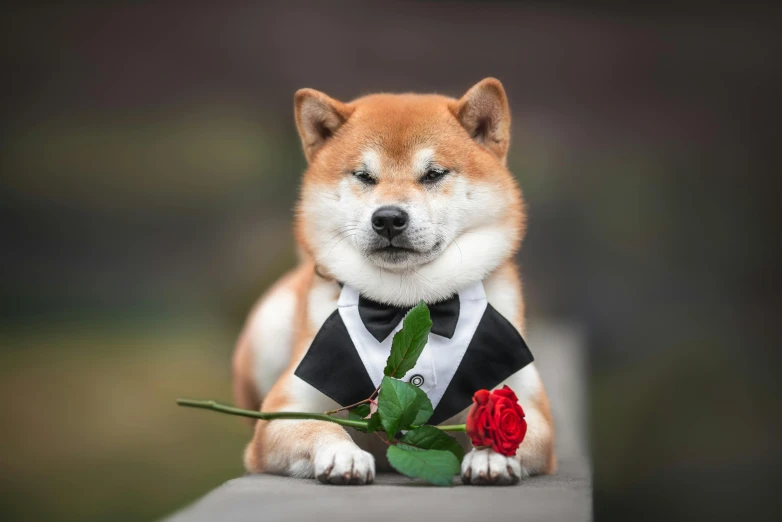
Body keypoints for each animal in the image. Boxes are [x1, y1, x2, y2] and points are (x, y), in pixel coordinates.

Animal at [233, 77, 556, 484]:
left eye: (433, 174)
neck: (403, 305)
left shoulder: (526, 407)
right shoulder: (283, 410)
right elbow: (320, 426)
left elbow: (508, 432)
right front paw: (343, 454)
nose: (388, 218)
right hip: (270, 327)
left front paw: (492, 456)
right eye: (364, 176)